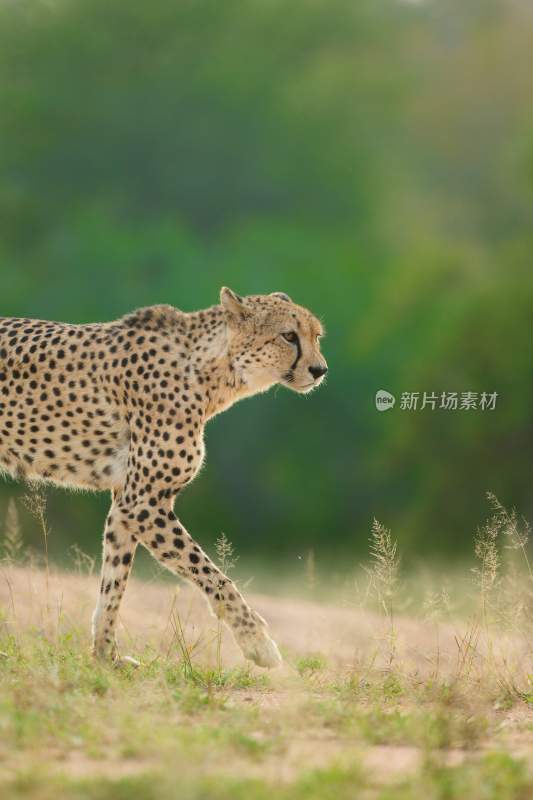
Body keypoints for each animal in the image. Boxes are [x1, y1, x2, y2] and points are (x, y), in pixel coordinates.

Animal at [0, 290, 324, 664]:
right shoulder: (143, 504)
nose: (320, 370)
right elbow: (213, 575)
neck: (211, 370)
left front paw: (106, 657)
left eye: (316, 336)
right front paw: (257, 642)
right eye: (289, 336)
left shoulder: (125, 505)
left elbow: (114, 583)